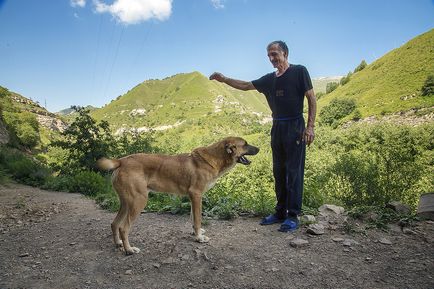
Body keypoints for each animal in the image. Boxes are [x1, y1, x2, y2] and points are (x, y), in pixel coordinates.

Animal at [97, 136, 260, 253]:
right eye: (245, 144)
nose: (259, 148)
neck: (215, 158)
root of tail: (121, 161)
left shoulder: (193, 197)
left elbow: (193, 218)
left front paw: (195, 233)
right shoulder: (196, 195)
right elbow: (198, 219)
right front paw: (199, 238)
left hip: (126, 203)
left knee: (114, 224)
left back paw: (118, 244)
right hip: (138, 201)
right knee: (123, 228)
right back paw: (129, 250)